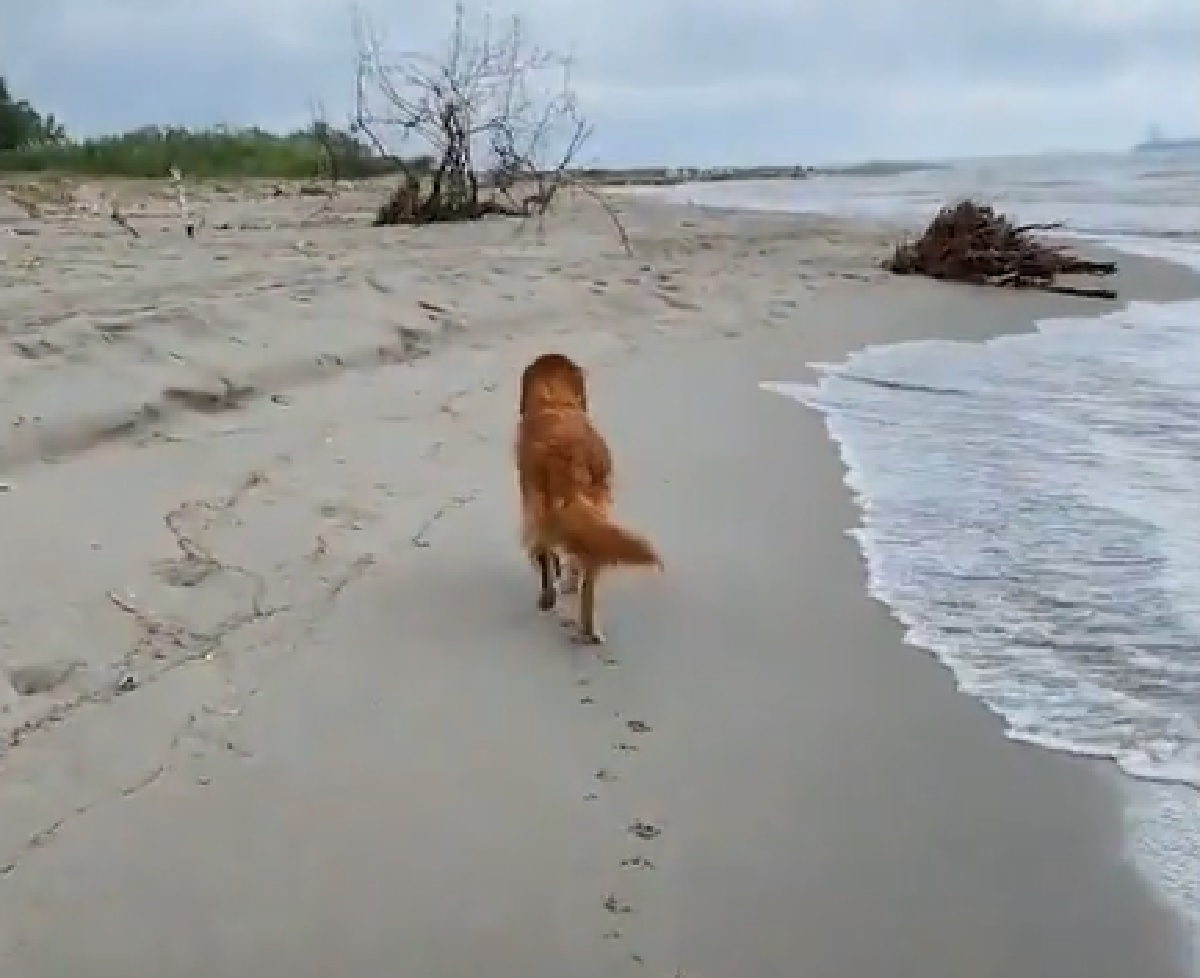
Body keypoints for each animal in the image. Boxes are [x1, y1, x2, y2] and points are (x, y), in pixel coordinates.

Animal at [513, 352, 662, 643]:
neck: (554, 399)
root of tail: (571, 458)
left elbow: (548, 558)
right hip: (597, 512)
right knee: (589, 570)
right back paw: (590, 629)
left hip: (540, 510)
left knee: (547, 554)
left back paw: (550, 599)